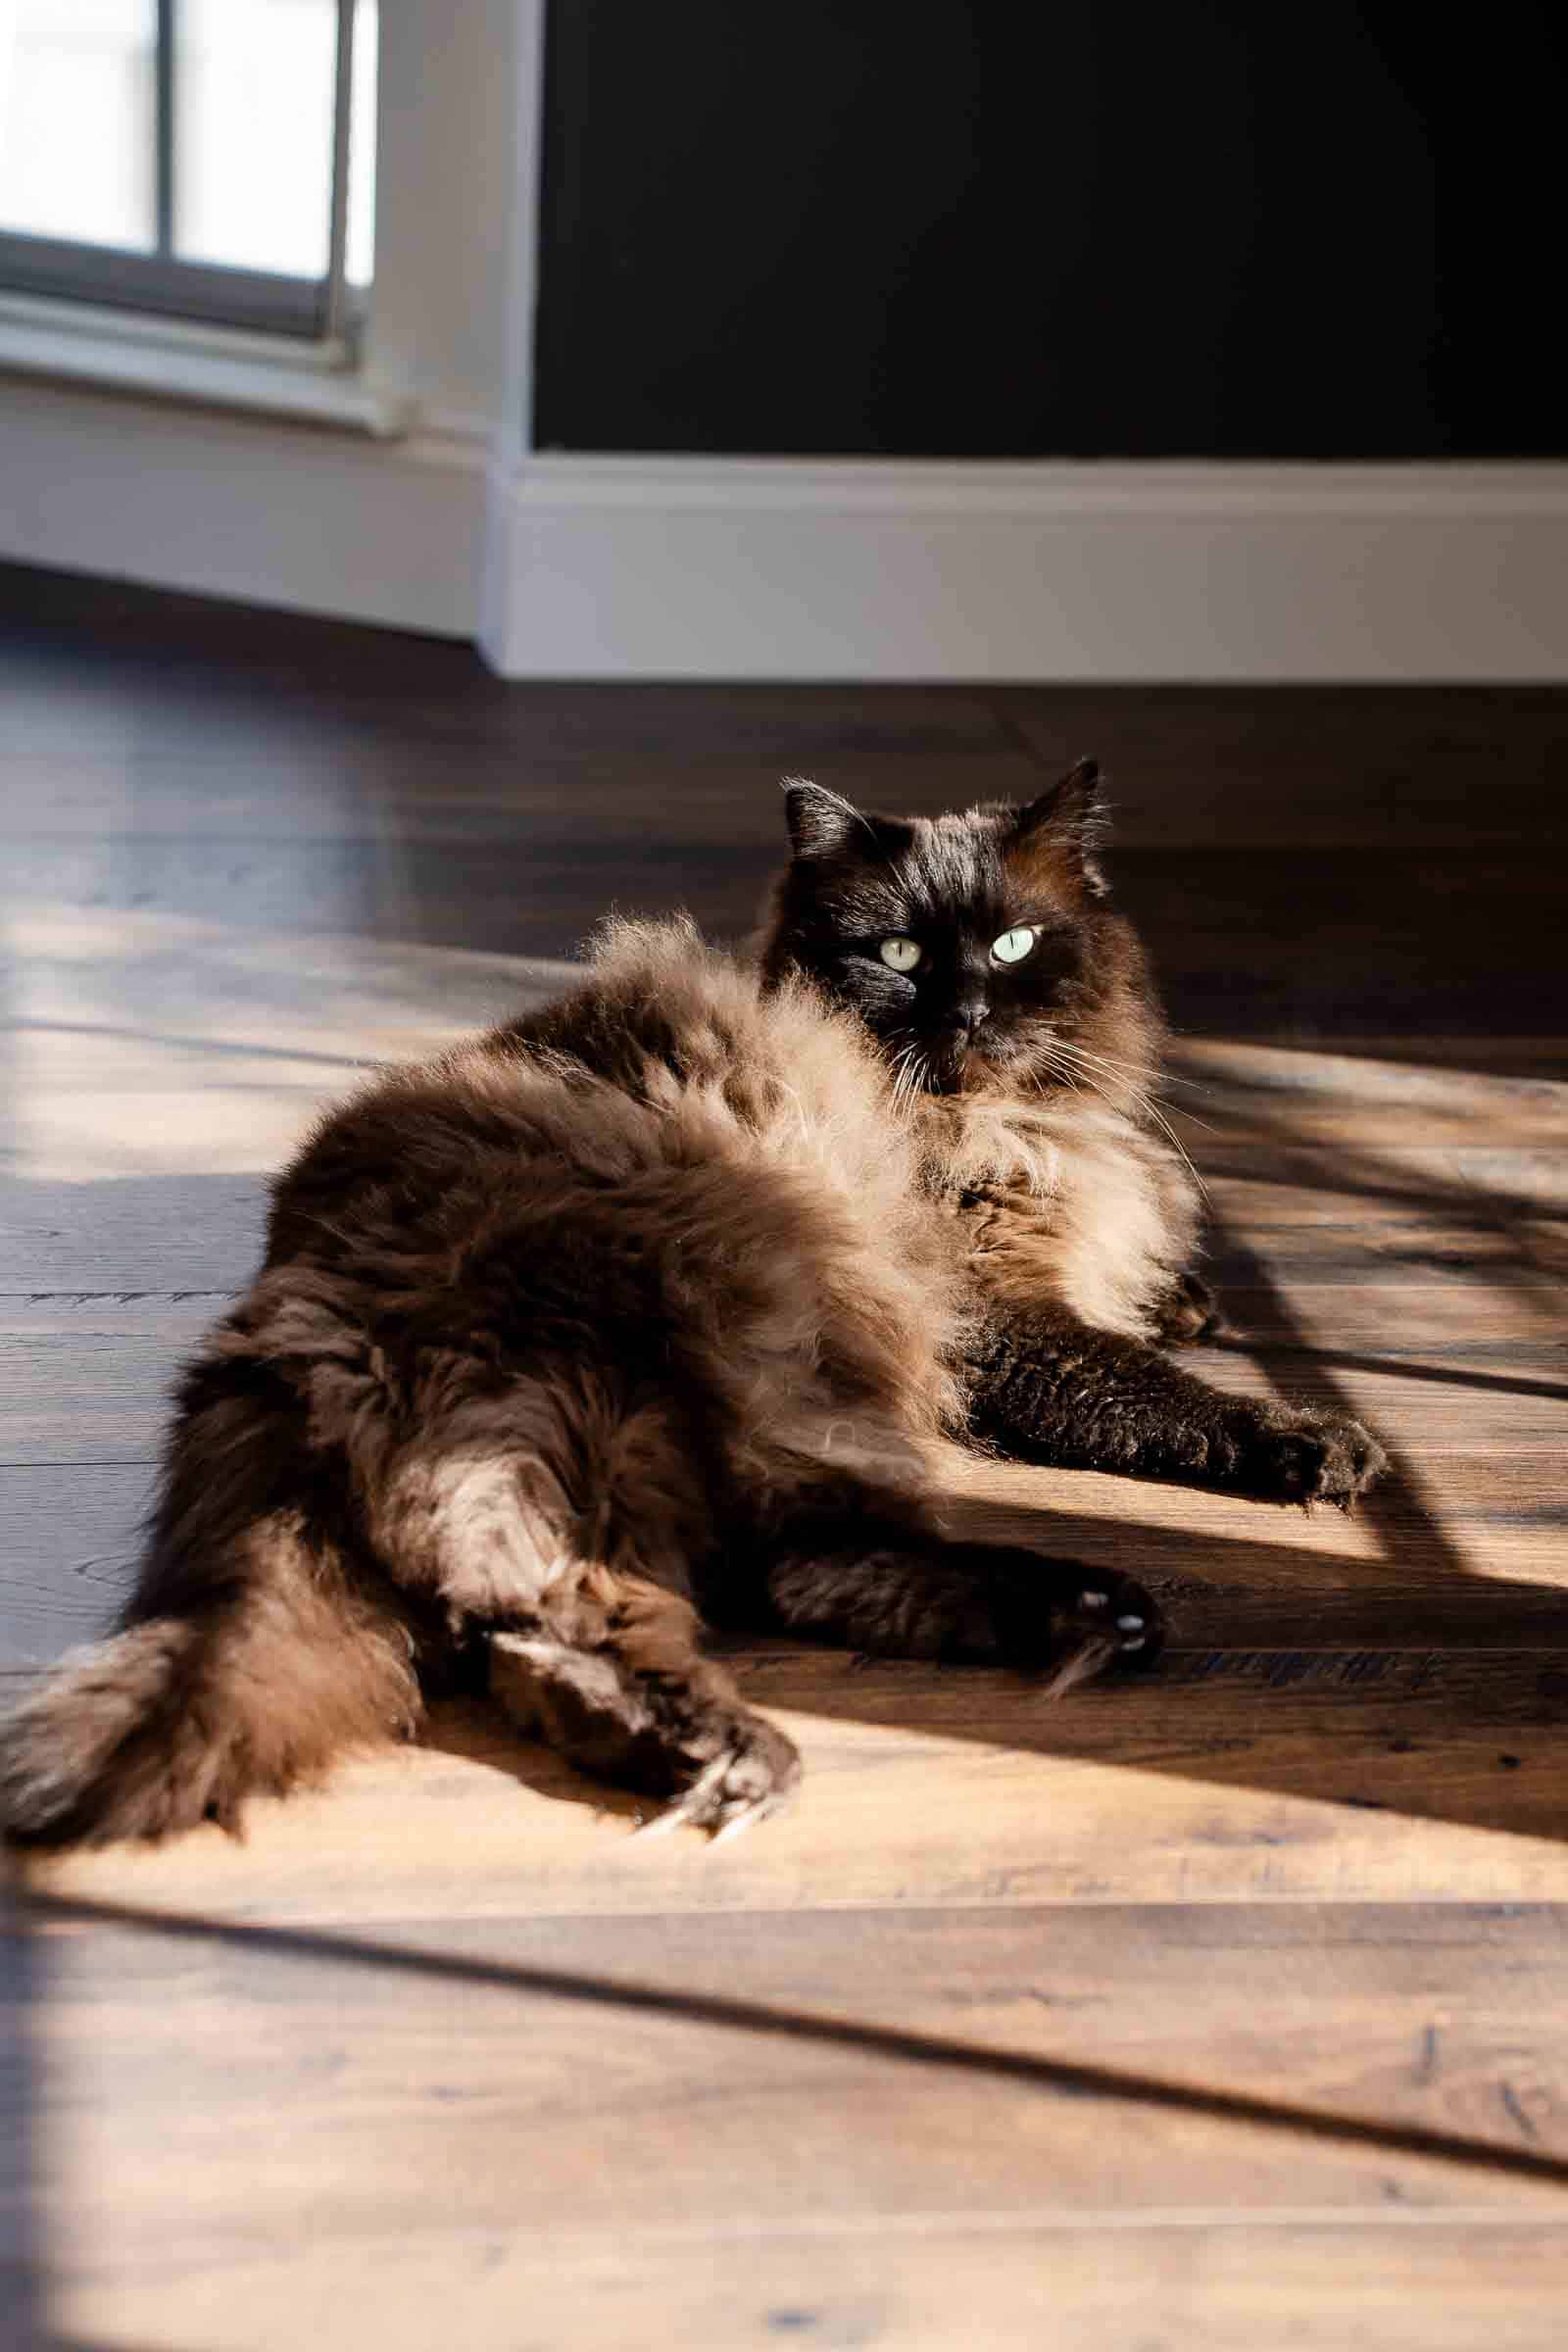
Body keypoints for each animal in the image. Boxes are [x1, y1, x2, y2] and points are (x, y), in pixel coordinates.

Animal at [0, 761, 1382, 1843]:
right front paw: (1309, 1437)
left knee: (577, 1623)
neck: (981, 1121)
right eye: (895, 954)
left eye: (1010, 946)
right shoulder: (996, 1322)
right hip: (731, 1366)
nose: (966, 1011)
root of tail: (284, 1321)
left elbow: (1153, 1312)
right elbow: (1150, 1393)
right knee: (708, 1583)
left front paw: (1193, 1301)